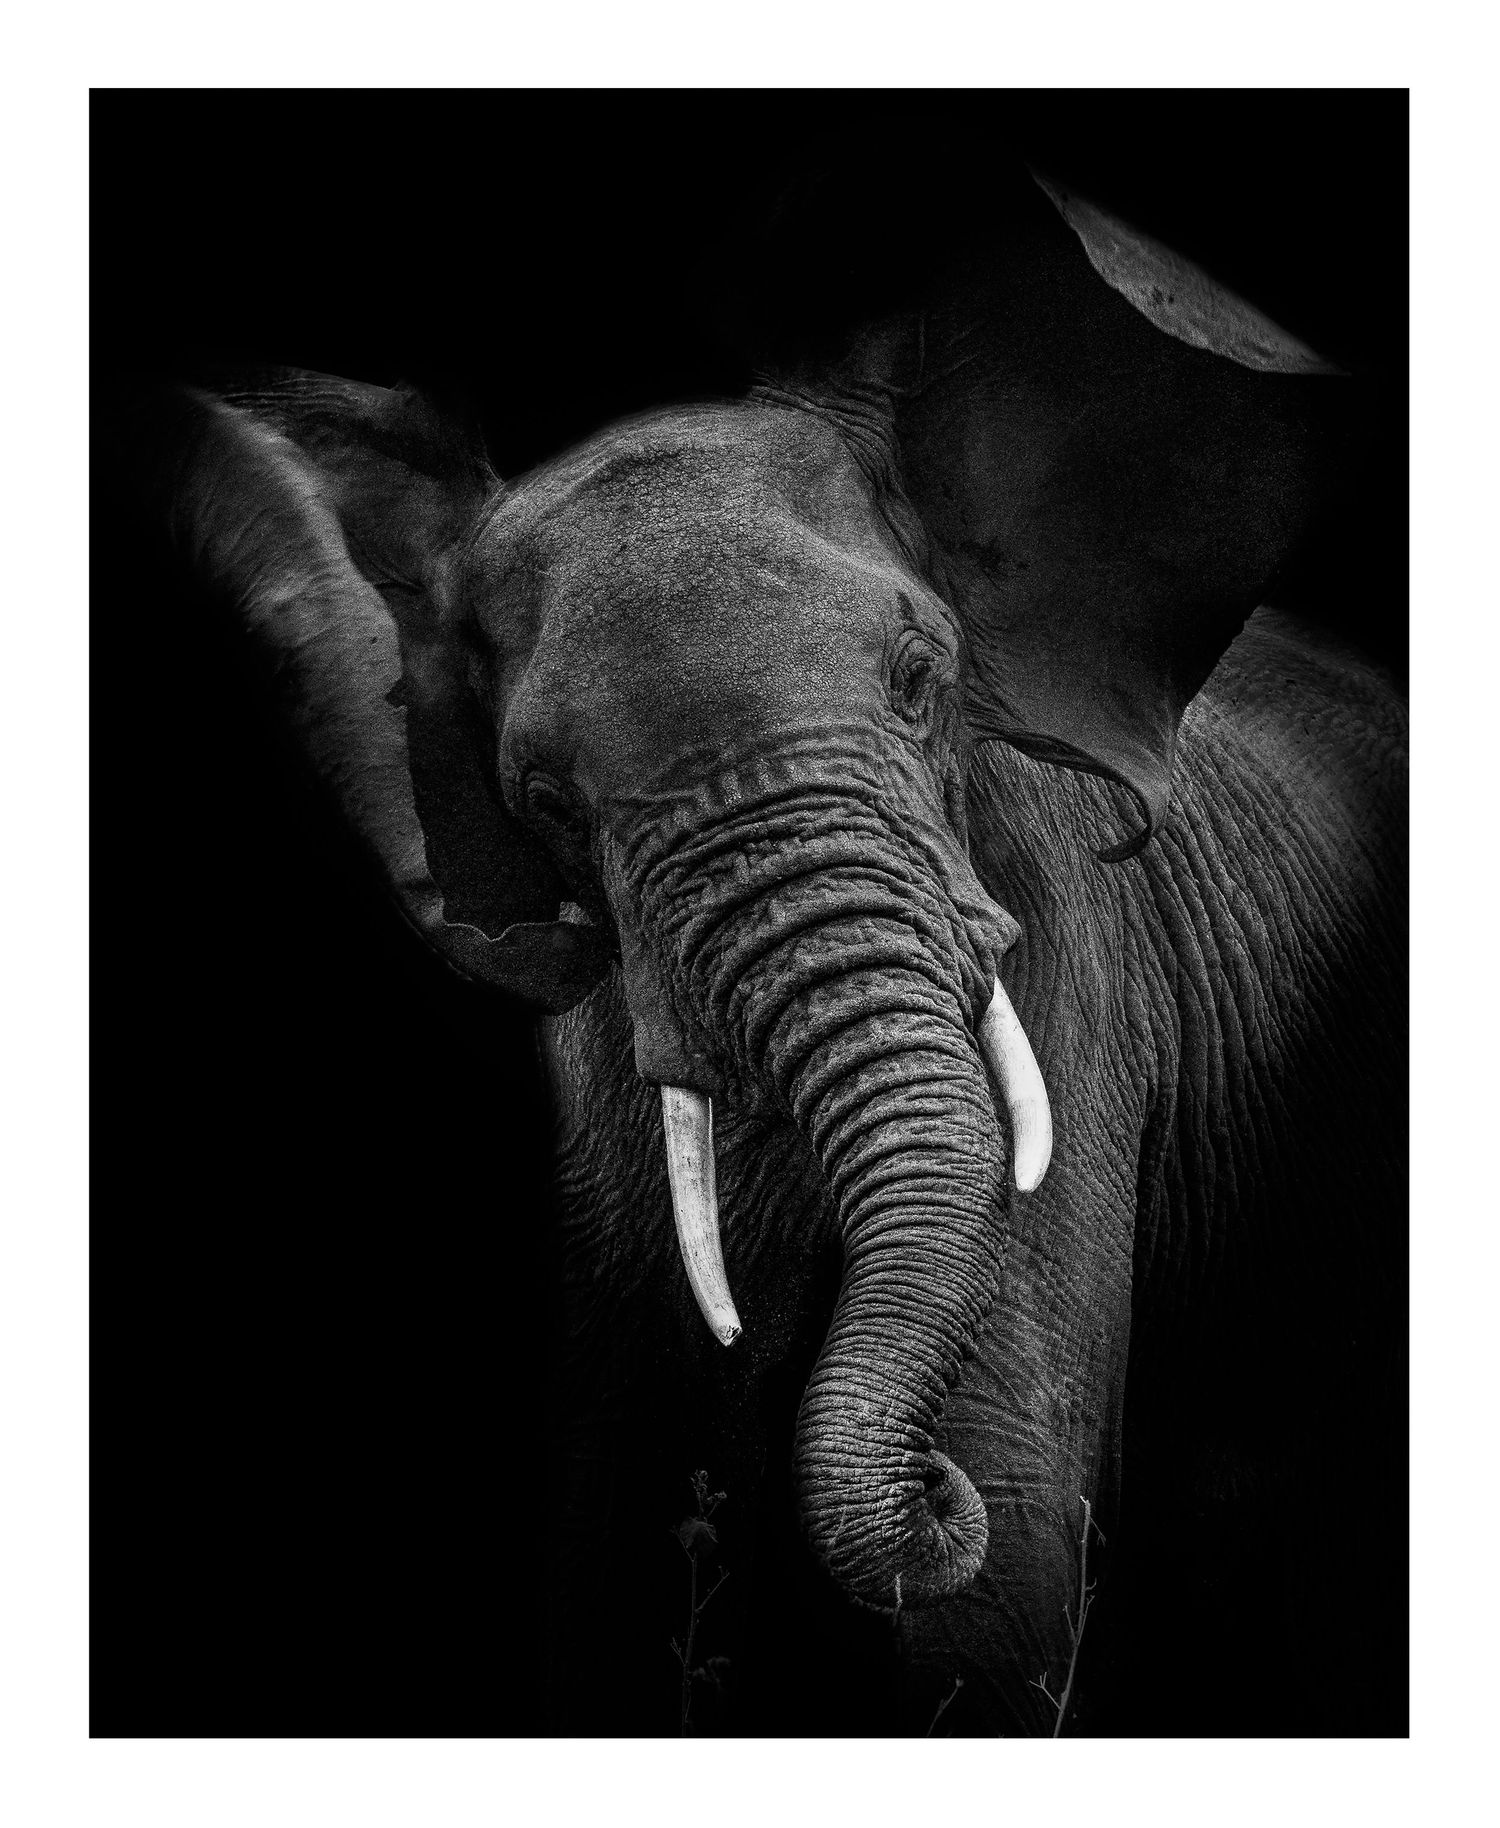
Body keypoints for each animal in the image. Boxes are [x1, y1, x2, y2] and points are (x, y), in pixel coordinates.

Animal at [120, 160, 1405, 1735]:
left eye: (920, 679)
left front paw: (960, 1504)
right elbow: (614, 1547)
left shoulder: (1058, 949)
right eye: (544, 798)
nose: (926, 1483)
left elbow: (1000, 1564)